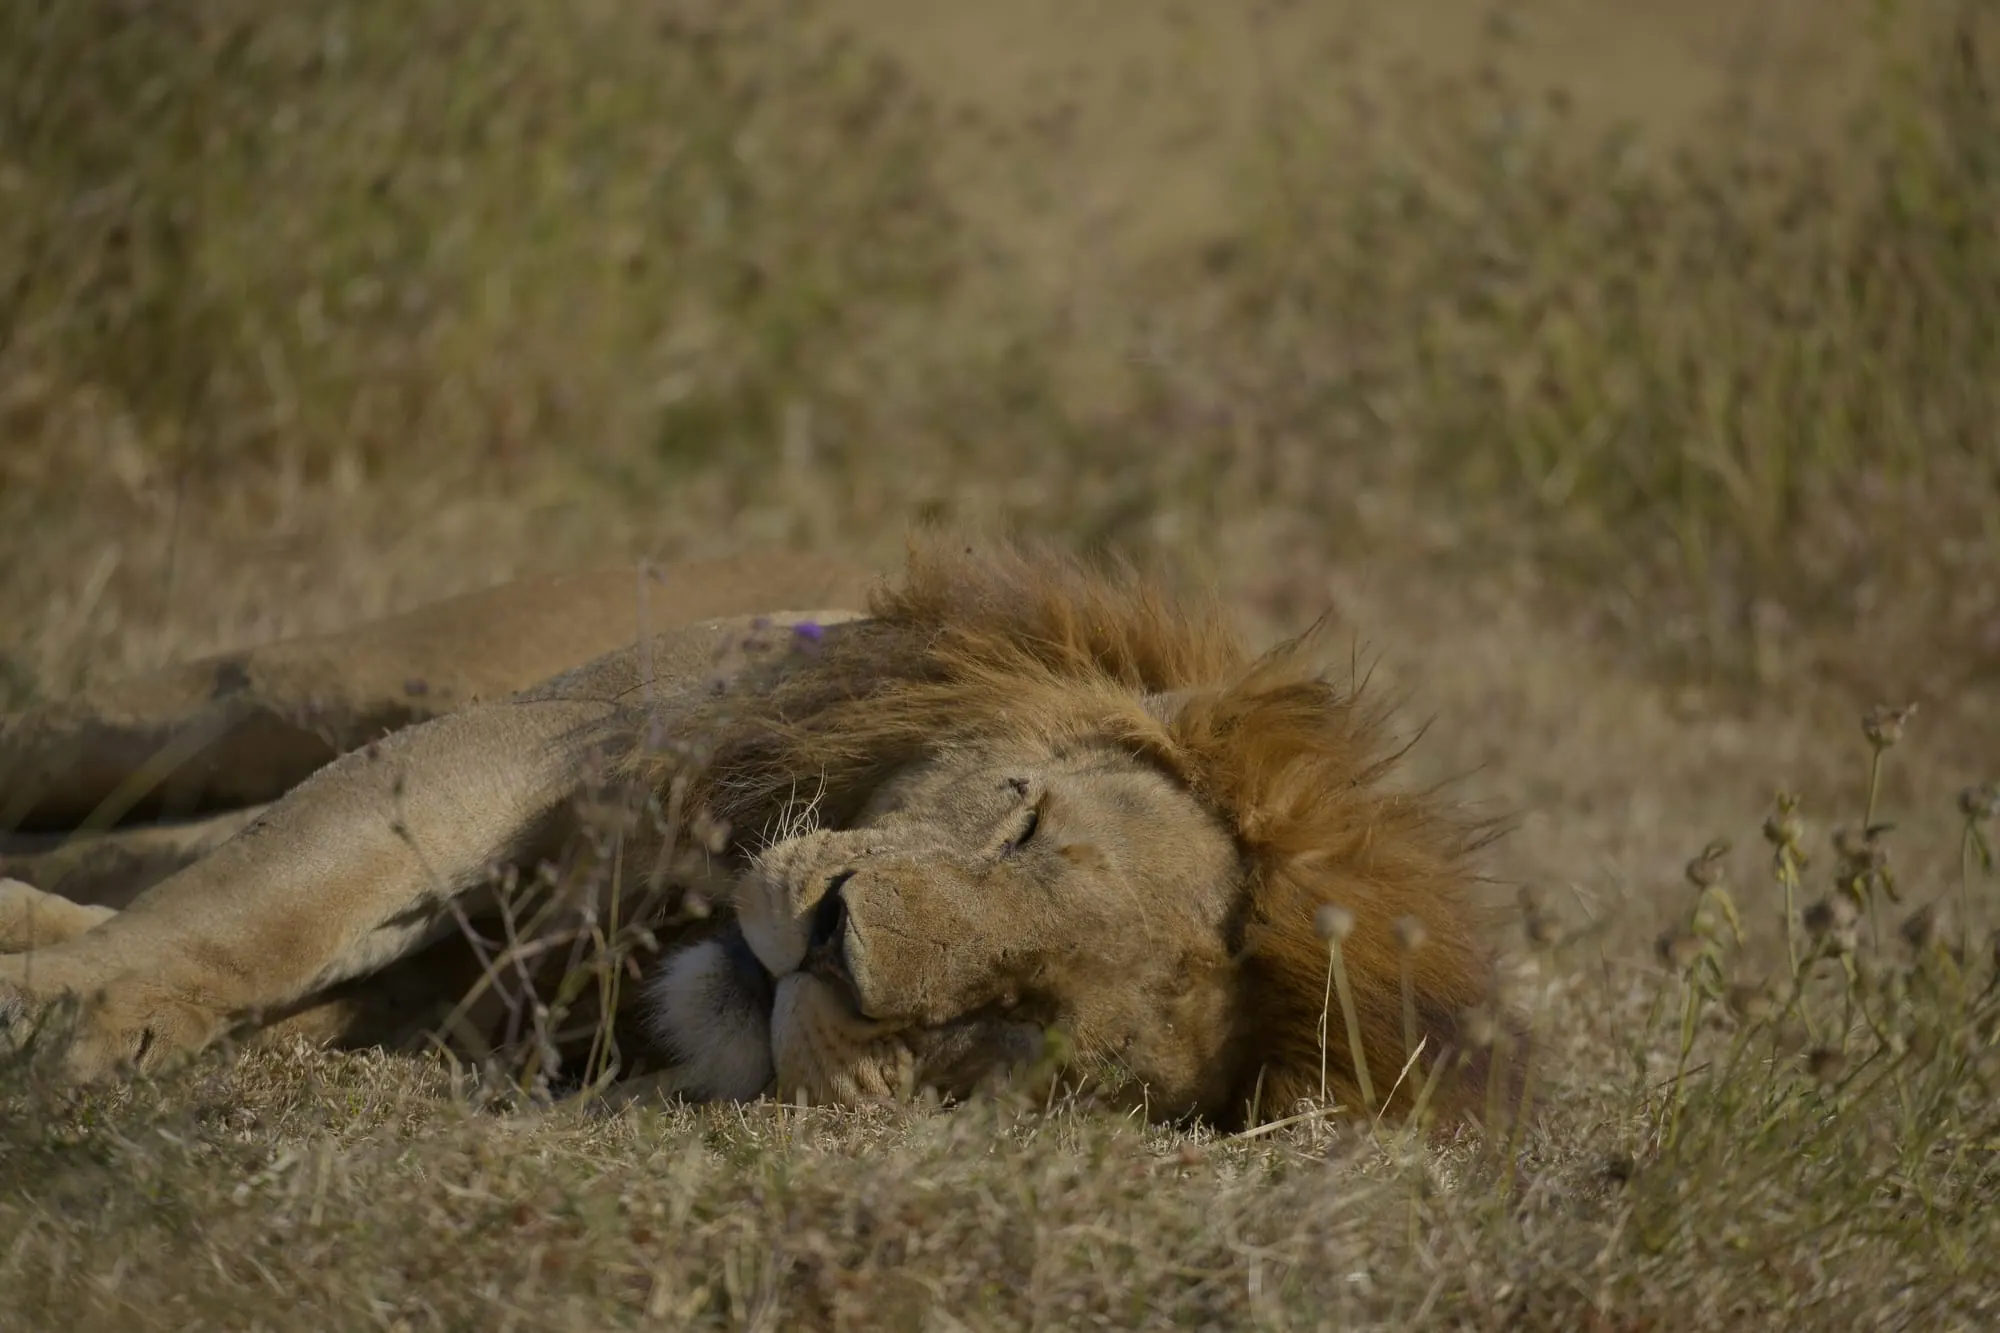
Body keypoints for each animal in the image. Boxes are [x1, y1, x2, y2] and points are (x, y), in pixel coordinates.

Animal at [0, 535, 1513, 1128]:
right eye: (1021, 817)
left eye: (1019, 1024)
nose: (830, 944)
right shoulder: (514, 751)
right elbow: (268, 909)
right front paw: (59, 1009)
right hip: (280, 687)